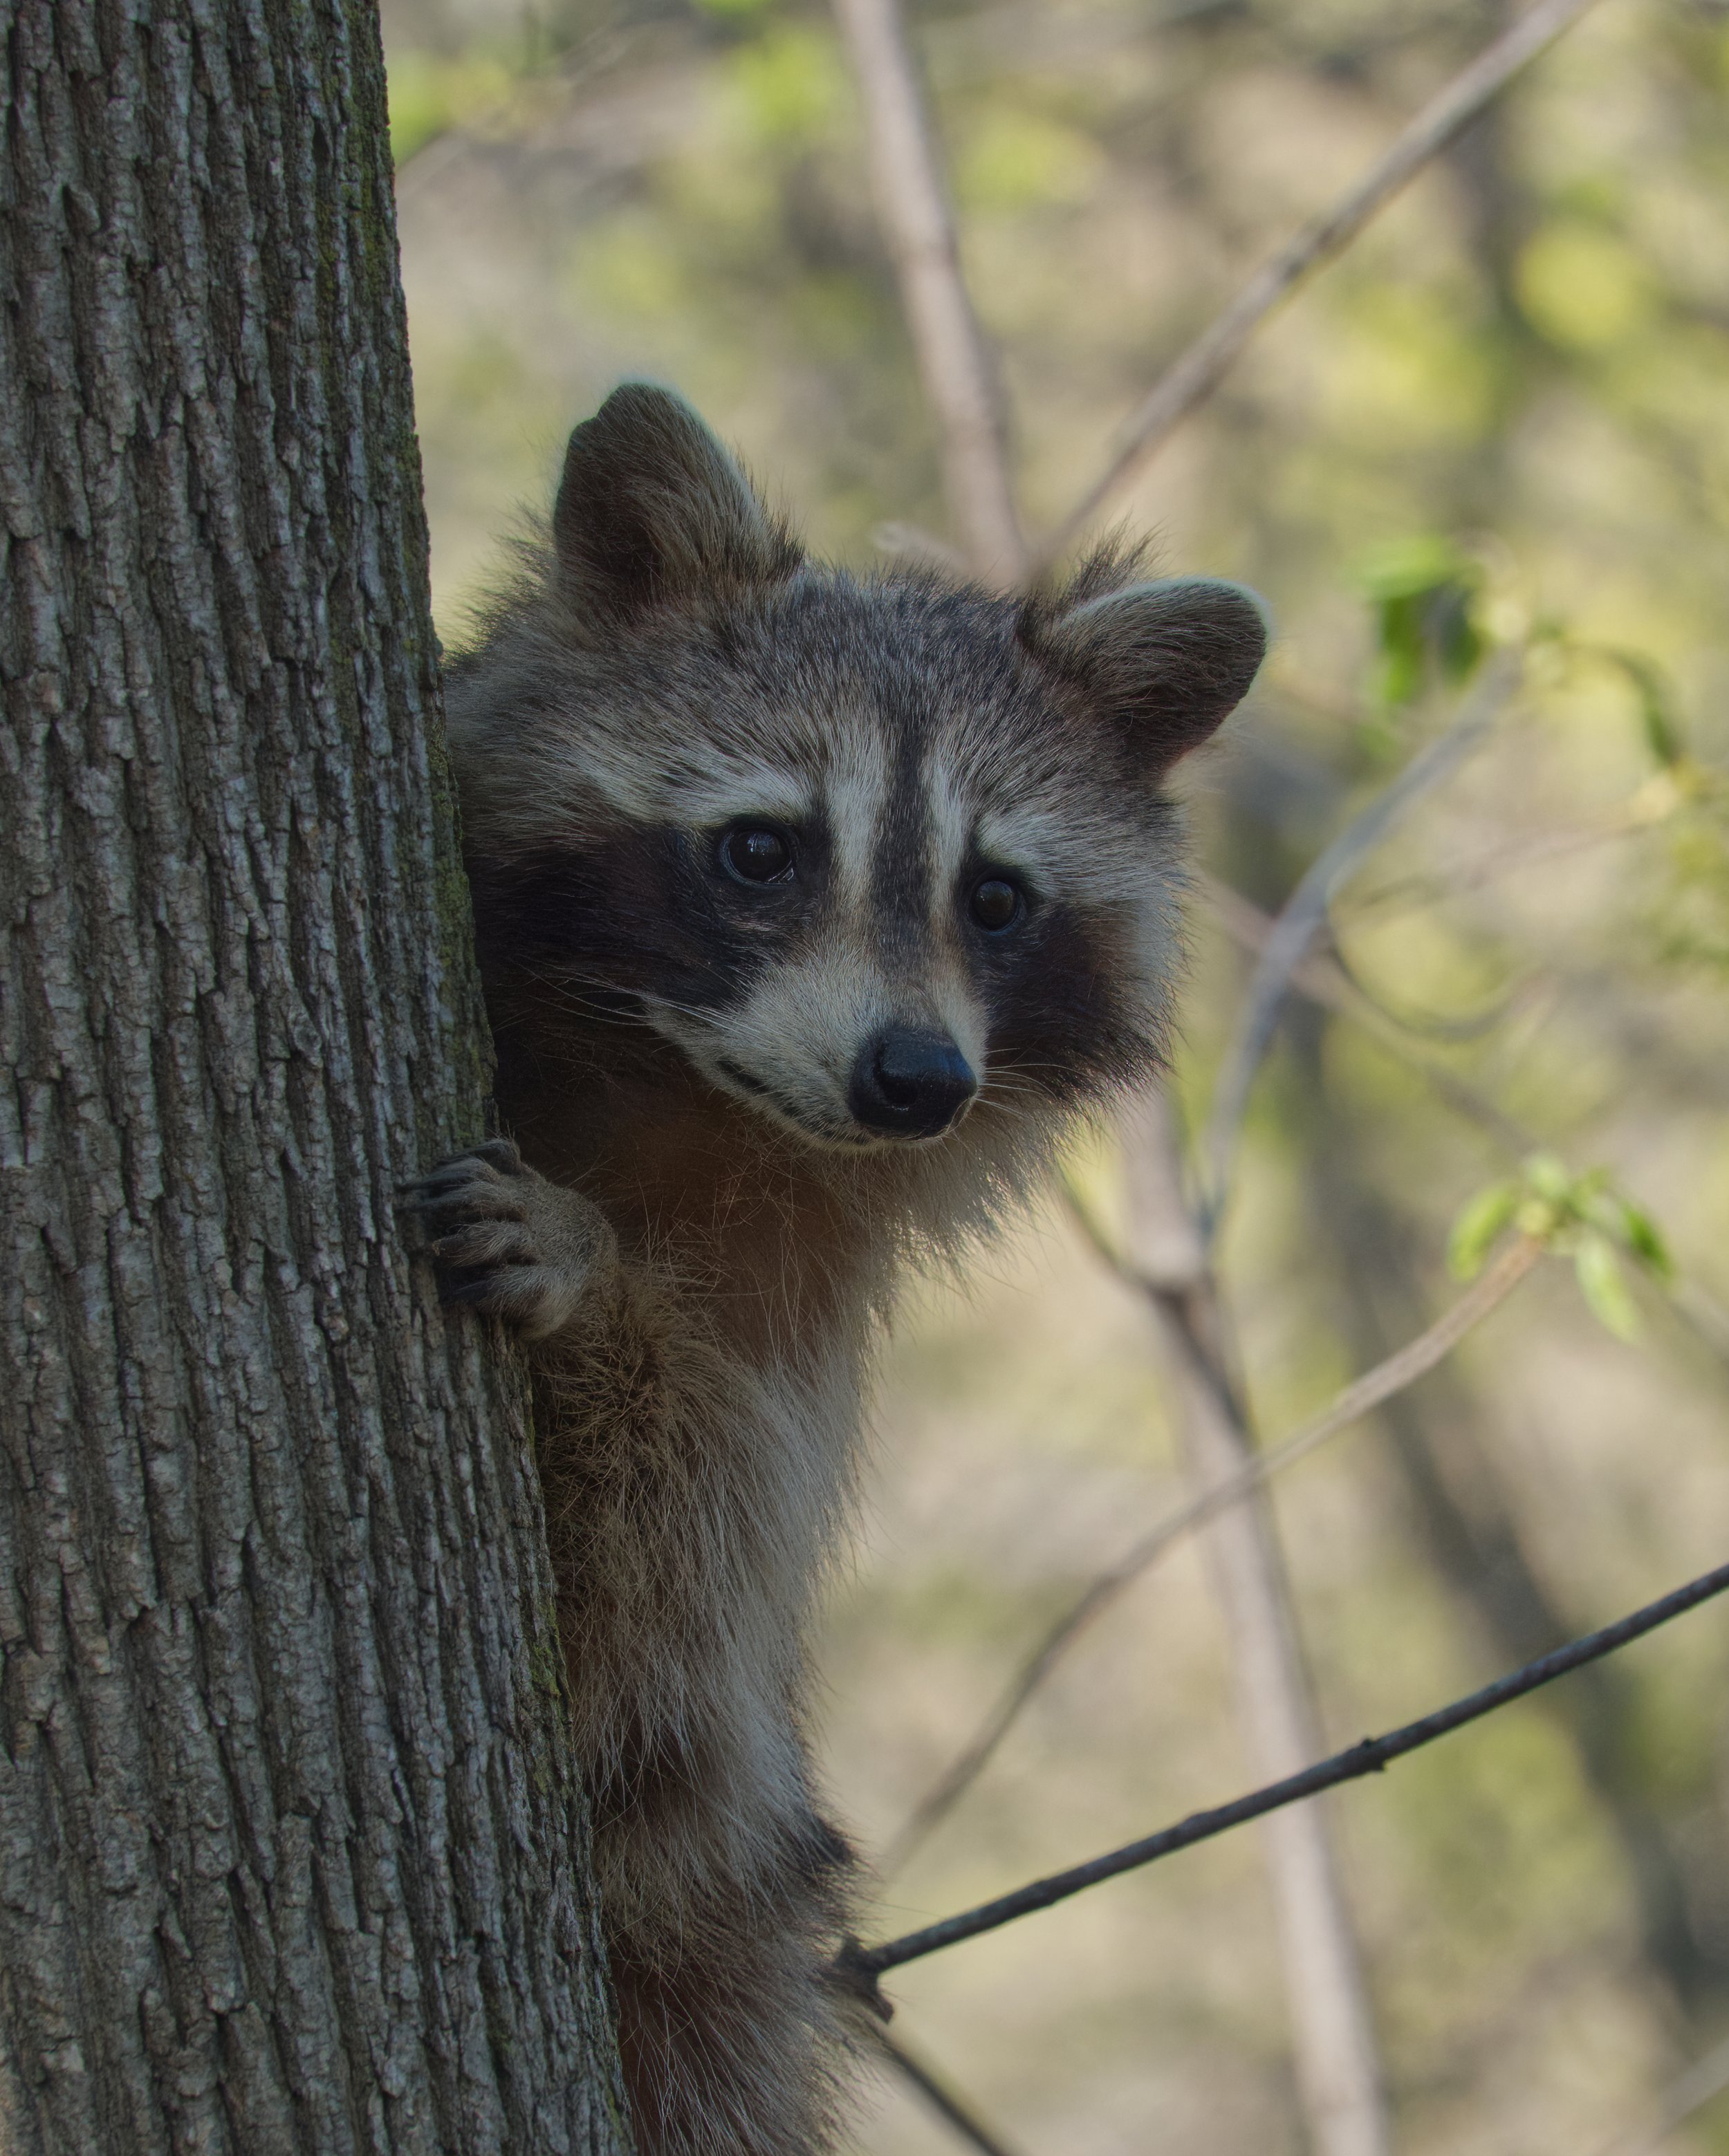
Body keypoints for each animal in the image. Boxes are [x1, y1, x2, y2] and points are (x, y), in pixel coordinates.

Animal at [404, 385, 1265, 2156]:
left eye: (995, 897)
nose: (915, 1078)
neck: (669, 1072)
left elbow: (697, 1517)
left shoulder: (806, 1267)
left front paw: (595, 1279)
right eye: (761, 850)